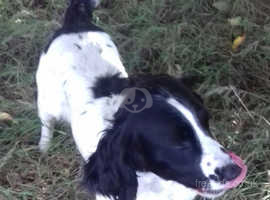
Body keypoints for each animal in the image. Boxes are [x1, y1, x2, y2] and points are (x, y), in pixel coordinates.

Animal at [36, 0, 247, 200]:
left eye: (206, 123)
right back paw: (44, 147)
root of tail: (75, 22)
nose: (234, 171)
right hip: (47, 102)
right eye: (178, 143)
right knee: (46, 123)